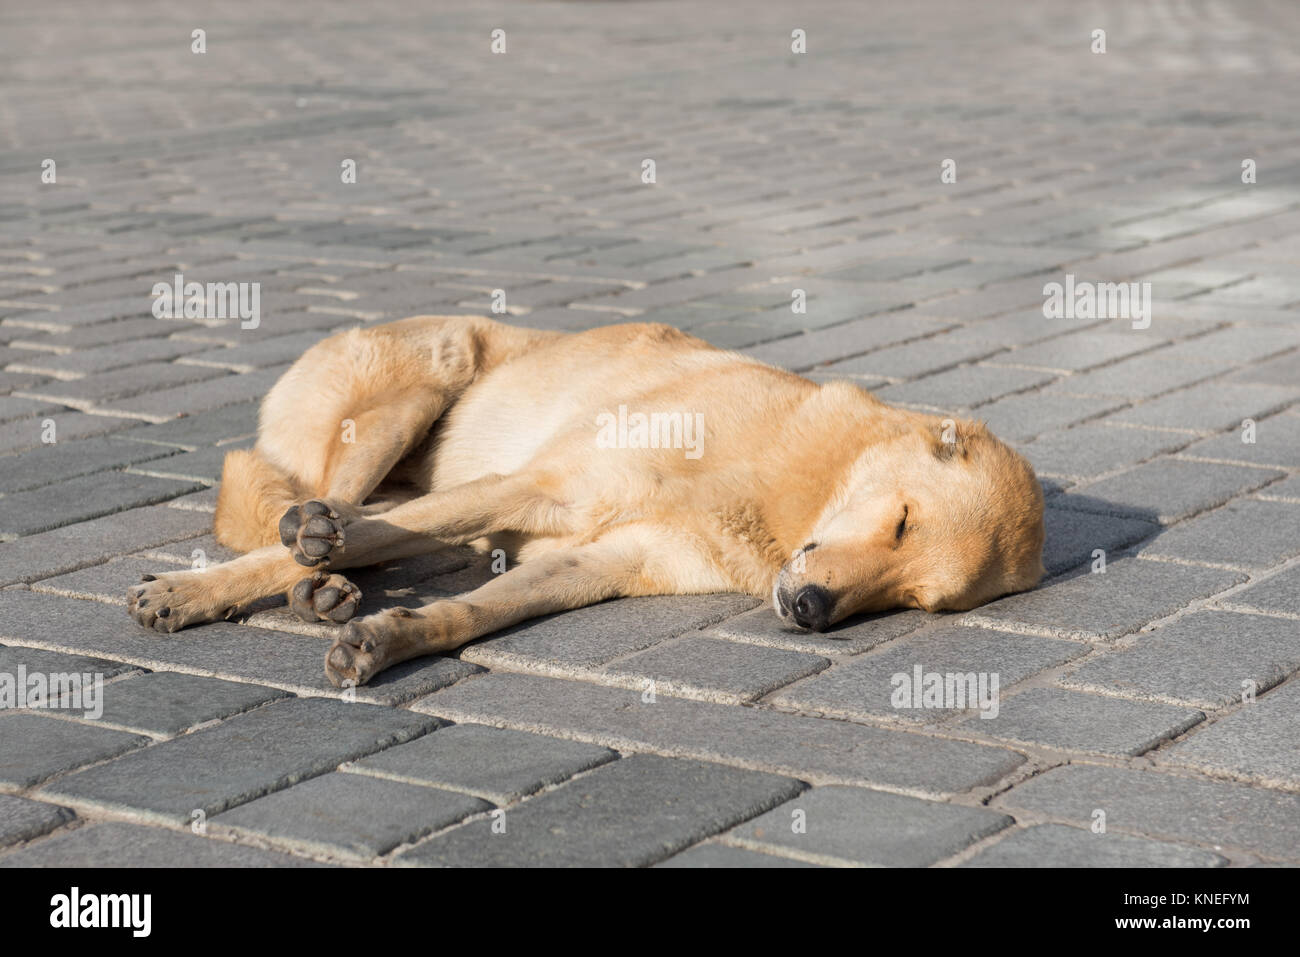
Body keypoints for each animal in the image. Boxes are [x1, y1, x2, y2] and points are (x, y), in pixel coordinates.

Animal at [129, 317, 1045, 686]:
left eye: (916, 599)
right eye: (900, 521)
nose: (812, 610)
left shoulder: (593, 559)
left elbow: (472, 612)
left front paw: (389, 639)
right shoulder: (539, 485)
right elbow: (312, 541)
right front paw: (187, 591)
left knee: (373, 532)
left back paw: (328, 588)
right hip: (417, 393)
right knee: (320, 512)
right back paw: (310, 558)